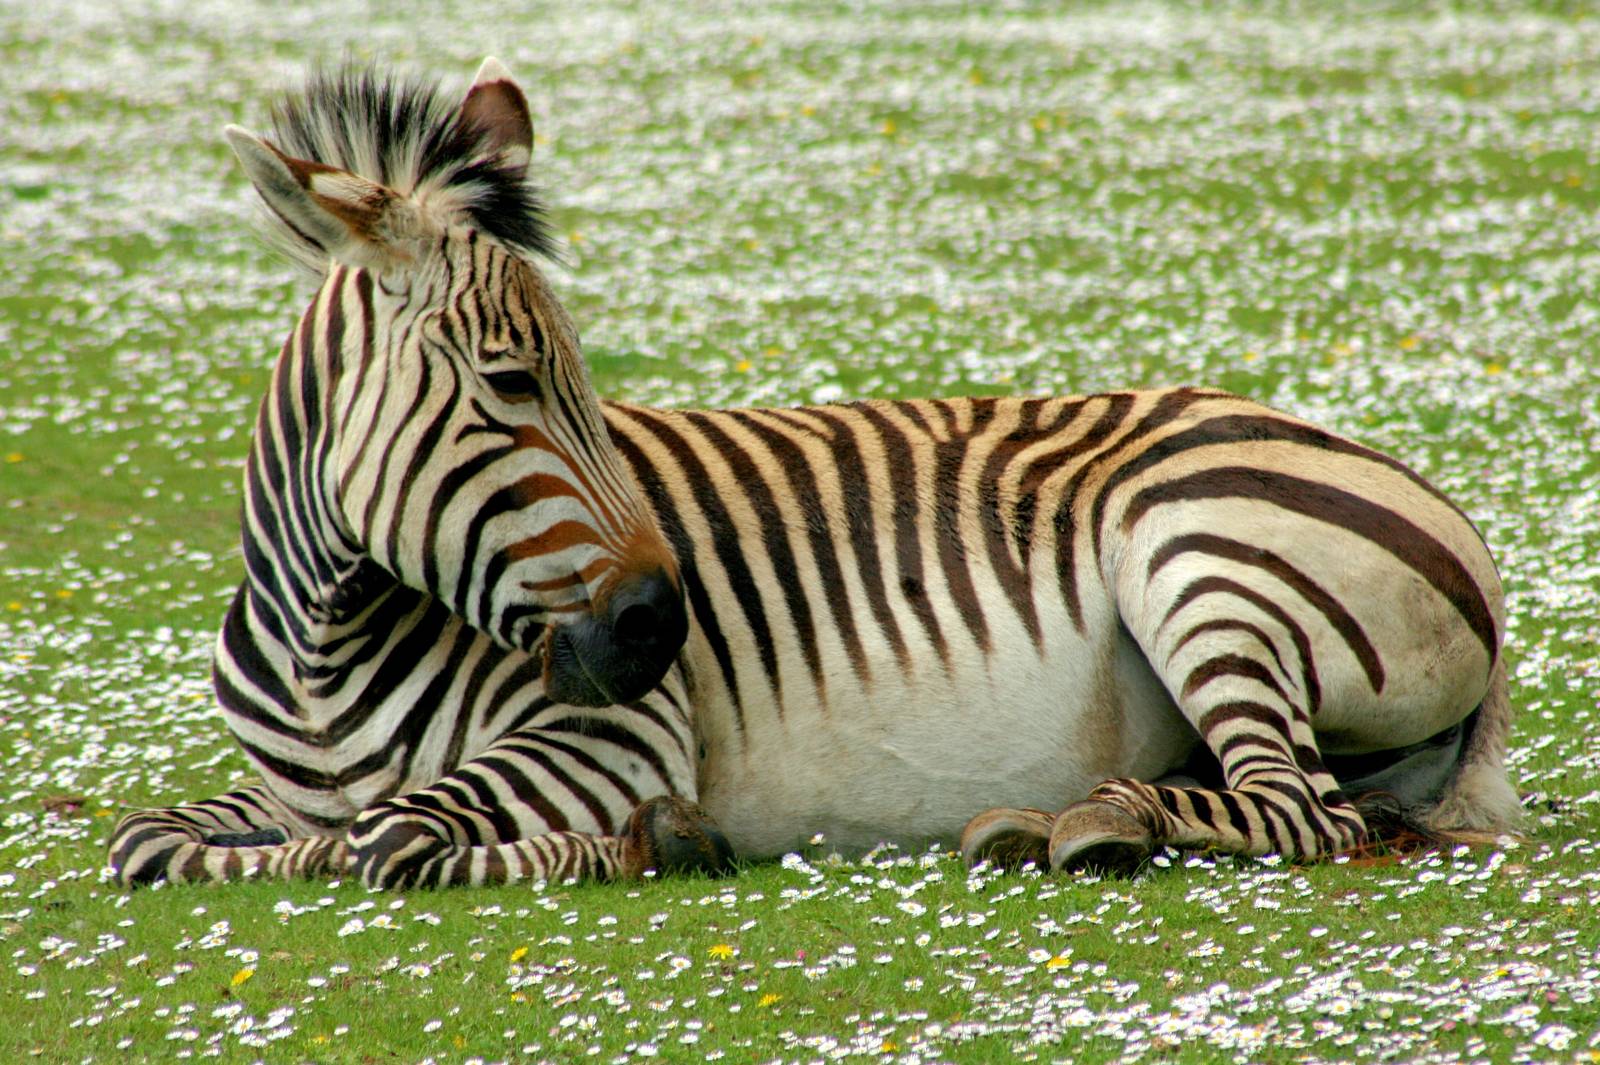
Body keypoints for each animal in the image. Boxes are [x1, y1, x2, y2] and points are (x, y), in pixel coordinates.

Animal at [108, 59, 1522, 889]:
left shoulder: (619, 736)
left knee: (1300, 814)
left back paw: (1099, 825)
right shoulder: (266, 787)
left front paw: (652, 838)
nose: (662, 625)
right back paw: (1069, 817)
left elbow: (391, 837)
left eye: (581, 386)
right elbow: (152, 839)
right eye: (511, 384)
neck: (323, 651)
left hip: (1200, 561)